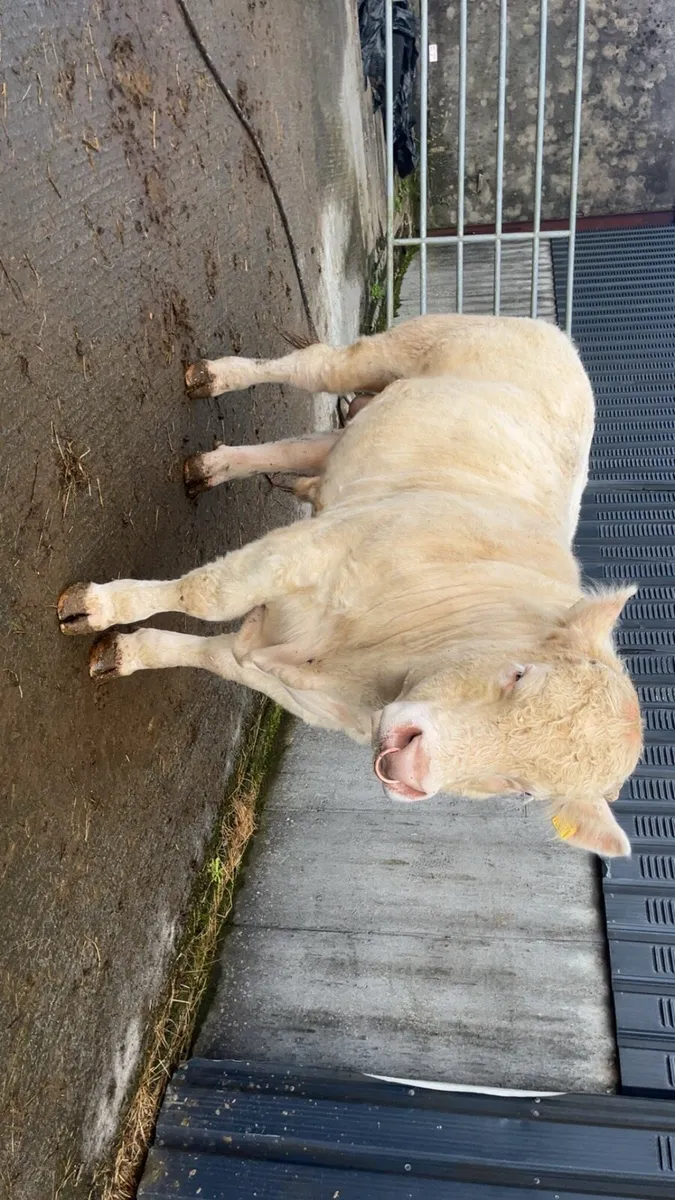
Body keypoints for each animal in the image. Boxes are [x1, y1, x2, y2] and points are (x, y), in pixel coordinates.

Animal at [57, 314, 643, 857]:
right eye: (518, 674)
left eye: (522, 790)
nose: (411, 765)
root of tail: (561, 343)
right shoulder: (310, 550)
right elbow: (206, 594)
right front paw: (94, 606)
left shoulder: (294, 686)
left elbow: (209, 655)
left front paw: (124, 653)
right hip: (400, 348)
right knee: (316, 366)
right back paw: (212, 376)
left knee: (307, 447)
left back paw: (211, 465)